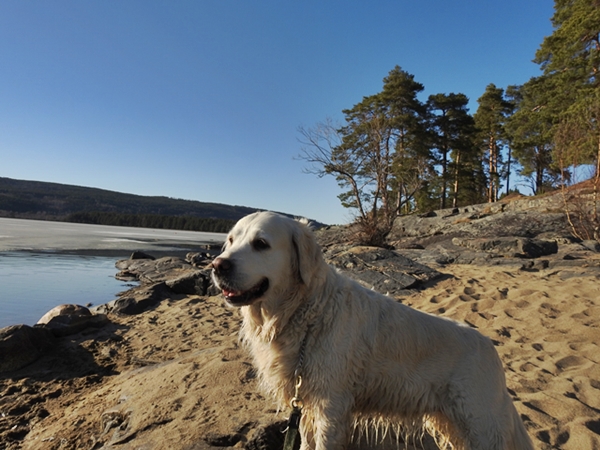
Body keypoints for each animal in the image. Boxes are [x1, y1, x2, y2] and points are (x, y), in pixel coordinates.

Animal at [212, 212, 536, 450]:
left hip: (481, 423)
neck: (305, 313)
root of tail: (490, 347)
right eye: (229, 241)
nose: (217, 265)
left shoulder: (331, 405)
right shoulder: (304, 403)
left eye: (261, 243)